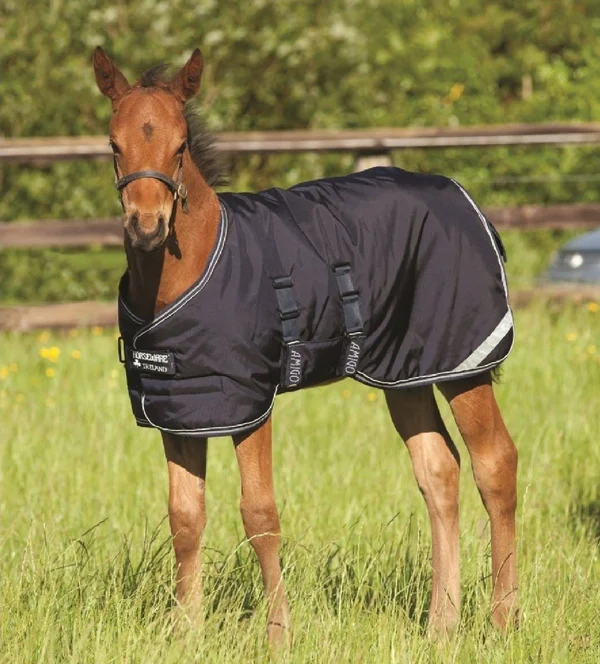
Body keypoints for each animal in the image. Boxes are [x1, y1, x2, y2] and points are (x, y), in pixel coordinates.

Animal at [93, 46, 519, 647]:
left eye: (180, 146)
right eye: (114, 144)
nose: (147, 226)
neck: (192, 268)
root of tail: (464, 198)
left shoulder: (248, 401)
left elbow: (259, 515)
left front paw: (278, 635)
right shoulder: (180, 409)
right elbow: (185, 517)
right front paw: (184, 634)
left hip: (462, 364)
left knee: (495, 463)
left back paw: (503, 620)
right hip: (405, 371)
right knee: (439, 470)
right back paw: (442, 625)